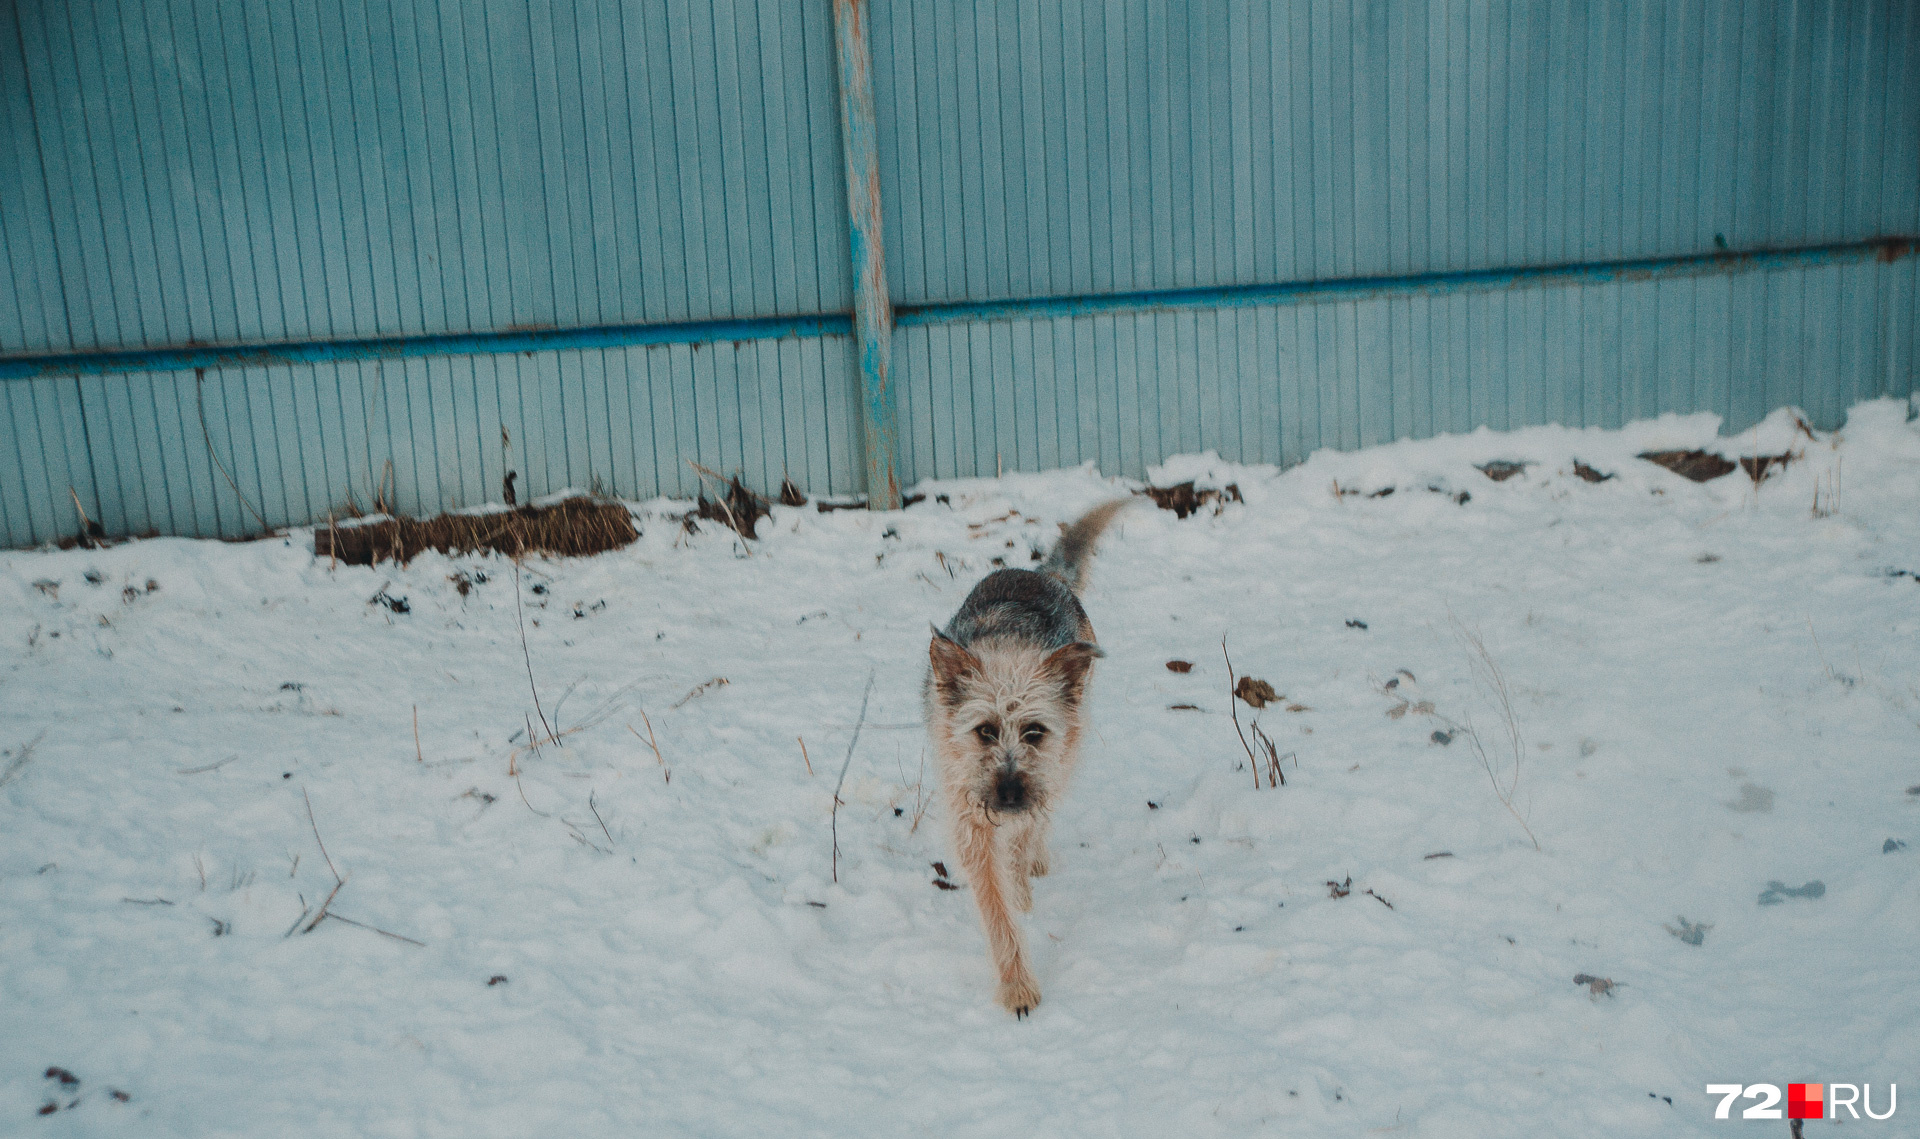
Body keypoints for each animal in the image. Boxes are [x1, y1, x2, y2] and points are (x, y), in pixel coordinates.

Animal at [925, 503, 1121, 1014]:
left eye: (1035, 731)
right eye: (984, 731)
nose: (1010, 793)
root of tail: (1040, 573)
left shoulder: (1043, 775)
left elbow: (1020, 844)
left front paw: (1021, 885)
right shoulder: (968, 813)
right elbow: (996, 907)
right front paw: (1016, 985)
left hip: (1067, 756)